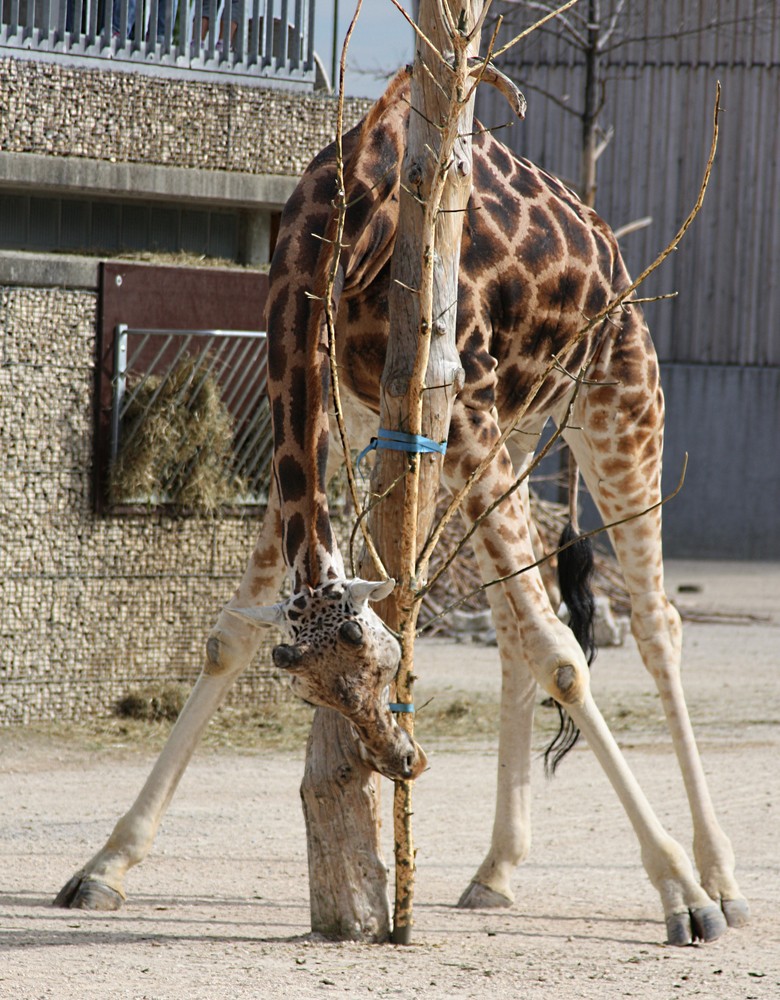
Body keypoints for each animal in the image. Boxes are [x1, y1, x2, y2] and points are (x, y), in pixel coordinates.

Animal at [51, 70, 748, 944]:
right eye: (311, 693)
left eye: (386, 664)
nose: (400, 759)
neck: (346, 217)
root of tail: (608, 243)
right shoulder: (343, 416)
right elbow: (226, 639)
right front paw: (104, 865)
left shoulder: (461, 401)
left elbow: (562, 654)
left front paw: (680, 893)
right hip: (507, 436)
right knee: (512, 626)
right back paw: (496, 871)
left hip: (616, 399)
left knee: (653, 623)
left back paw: (721, 878)